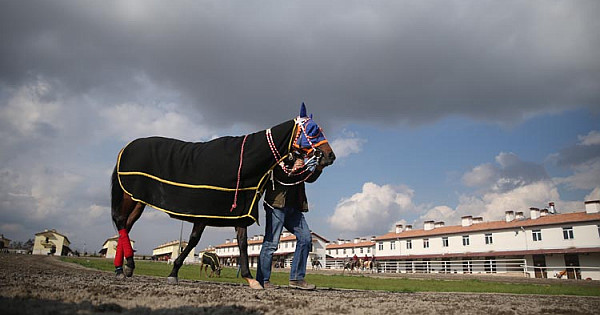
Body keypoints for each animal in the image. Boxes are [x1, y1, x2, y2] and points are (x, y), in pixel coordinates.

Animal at [110, 103, 336, 292]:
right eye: (313, 130)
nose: (330, 156)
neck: (243, 163)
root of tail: (126, 148)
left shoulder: (238, 214)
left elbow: (240, 244)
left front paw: (250, 279)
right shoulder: (205, 211)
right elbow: (195, 241)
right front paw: (174, 273)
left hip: (138, 200)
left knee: (126, 225)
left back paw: (122, 269)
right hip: (130, 196)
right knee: (121, 221)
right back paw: (127, 265)